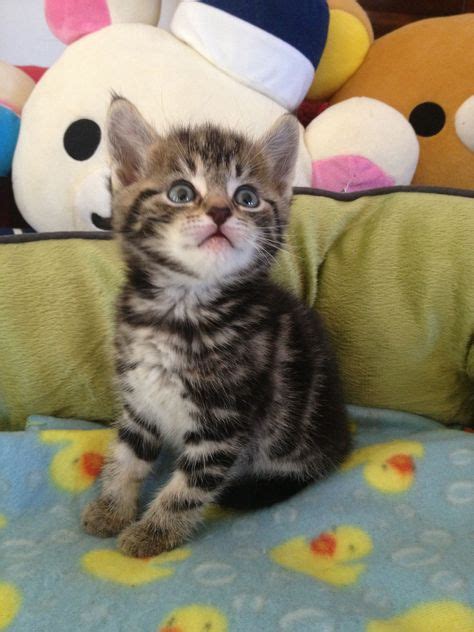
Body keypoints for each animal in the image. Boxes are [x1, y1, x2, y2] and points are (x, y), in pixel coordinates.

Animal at [81, 95, 350, 556]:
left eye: (247, 197)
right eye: (181, 193)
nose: (222, 211)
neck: (181, 309)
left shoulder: (223, 421)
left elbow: (188, 487)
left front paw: (153, 533)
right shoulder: (139, 400)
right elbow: (127, 456)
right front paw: (112, 508)